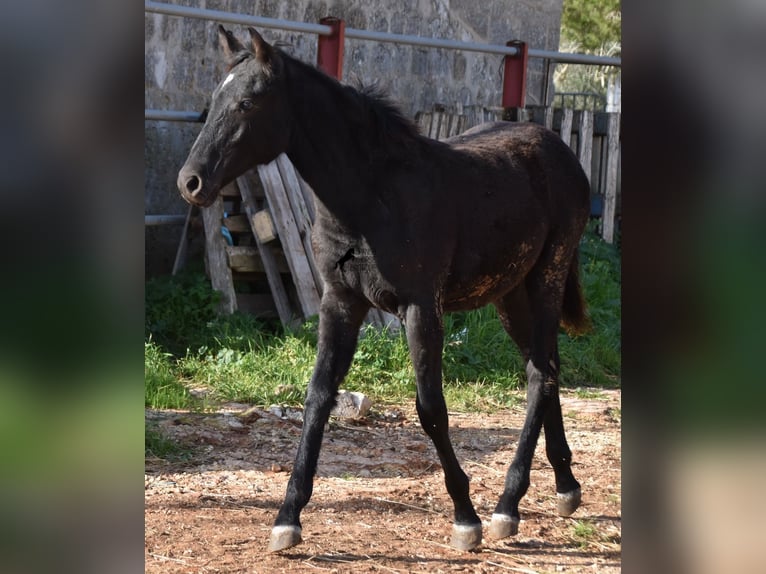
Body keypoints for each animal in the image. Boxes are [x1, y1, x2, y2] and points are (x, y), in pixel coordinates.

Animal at [178, 26, 591, 553]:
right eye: (214, 99)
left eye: (247, 102)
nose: (191, 182)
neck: (372, 196)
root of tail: (562, 152)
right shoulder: (340, 302)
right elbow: (318, 398)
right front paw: (287, 518)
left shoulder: (421, 308)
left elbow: (430, 407)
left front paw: (465, 517)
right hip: (510, 294)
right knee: (548, 368)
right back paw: (564, 488)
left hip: (546, 278)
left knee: (540, 375)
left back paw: (506, 506)